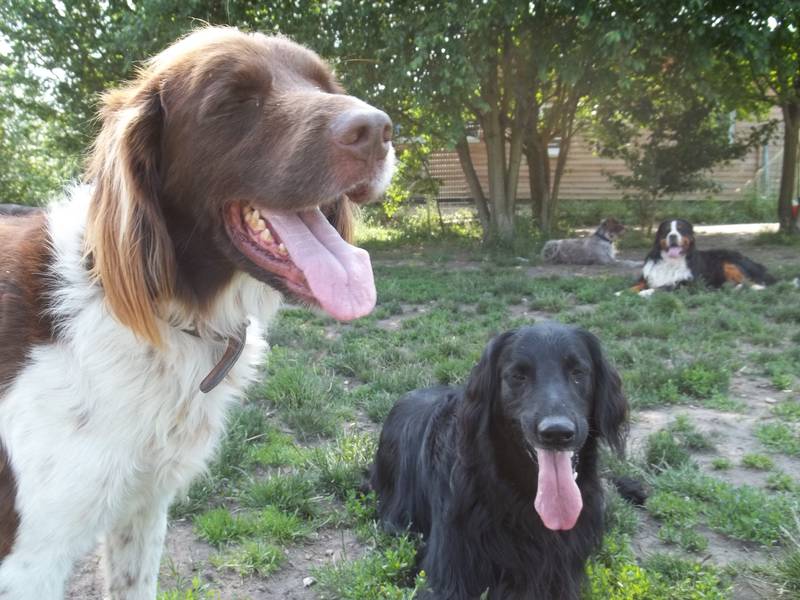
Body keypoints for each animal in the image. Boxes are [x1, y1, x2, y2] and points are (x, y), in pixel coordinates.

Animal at [632, 219, 775, 295]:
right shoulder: (646, 278)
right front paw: (627, 292)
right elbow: (634, 286)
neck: (670, 261)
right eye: (666, 230)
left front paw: (645, 292)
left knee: (752, 281)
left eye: (681, 229)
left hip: (729, 263)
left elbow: (662, 287)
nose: (672, 236)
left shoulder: (688, 284)